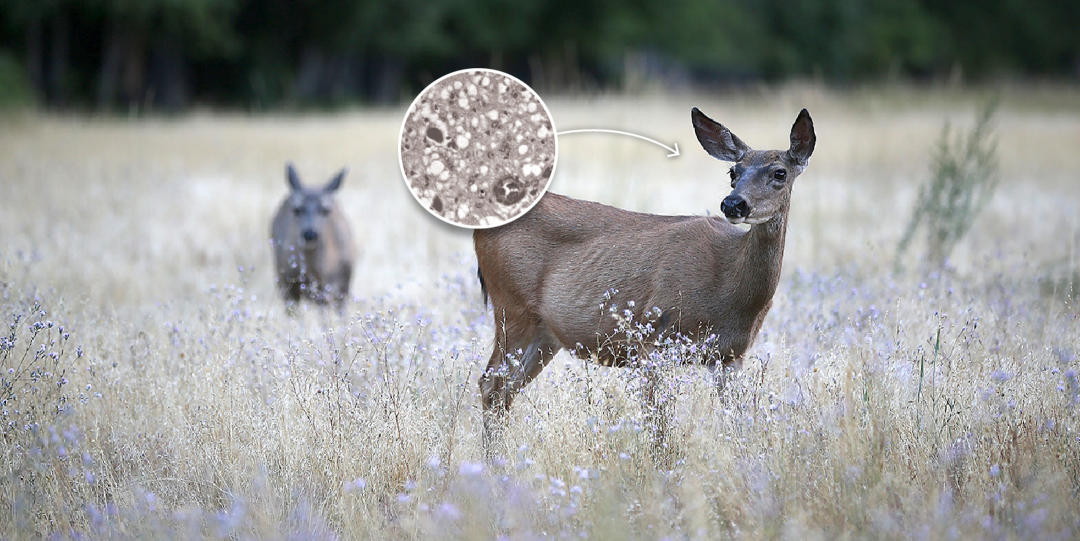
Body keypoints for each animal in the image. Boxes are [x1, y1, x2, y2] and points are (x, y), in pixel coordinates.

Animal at [475, 106, 816, 442]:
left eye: (780, 173)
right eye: (733, 172)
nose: (733, 204)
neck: (729, 286)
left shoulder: (731, 356)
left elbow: (737, 420)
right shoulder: (653, 338)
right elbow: (658, 428)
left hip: (544, 332)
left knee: (505, 390)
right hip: (512, 307)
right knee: (490, 384)